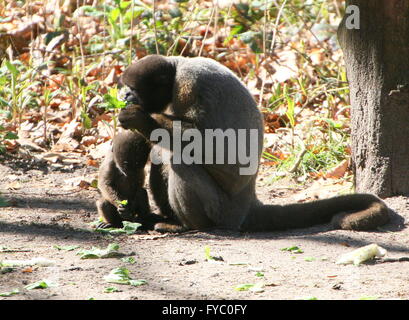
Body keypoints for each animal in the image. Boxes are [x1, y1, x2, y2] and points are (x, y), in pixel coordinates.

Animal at [117, 55, 388, 232]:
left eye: (132, 88)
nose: (124, 95)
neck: (176, 69)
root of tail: (247, 202)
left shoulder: (189, 83)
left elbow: (205, 140)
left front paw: (140, 118)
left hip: (221, 209)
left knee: (180, 159)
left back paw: (188, 226)